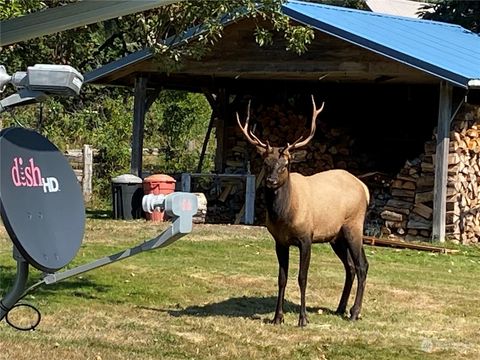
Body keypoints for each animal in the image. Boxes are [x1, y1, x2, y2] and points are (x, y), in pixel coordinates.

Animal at [238, 95, 370, 326]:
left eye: (285, 164)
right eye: (266, 162)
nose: (271, 181)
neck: (284, 216)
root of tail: (365, 188)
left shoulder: (306, 237)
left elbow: (302, 277)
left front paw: (303, 319)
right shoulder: (280, 241)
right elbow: (282, 278)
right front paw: (277, 317)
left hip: (354, 225)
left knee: (362, 266)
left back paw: (354, 312)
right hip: (336, 236)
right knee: (351, 267)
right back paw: (340, 308)